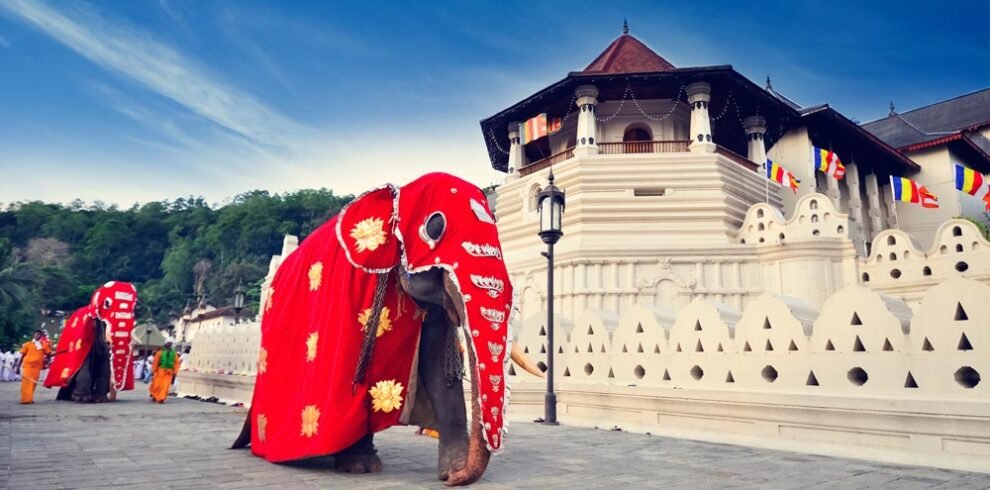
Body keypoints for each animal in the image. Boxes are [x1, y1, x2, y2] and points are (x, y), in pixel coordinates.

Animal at [232, 173, 544, 486]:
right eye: (435, 226)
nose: (457, 476)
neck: (396, 196)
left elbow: (437, 364)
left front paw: (451, 471)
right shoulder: (353, 288)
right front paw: (360, 465)